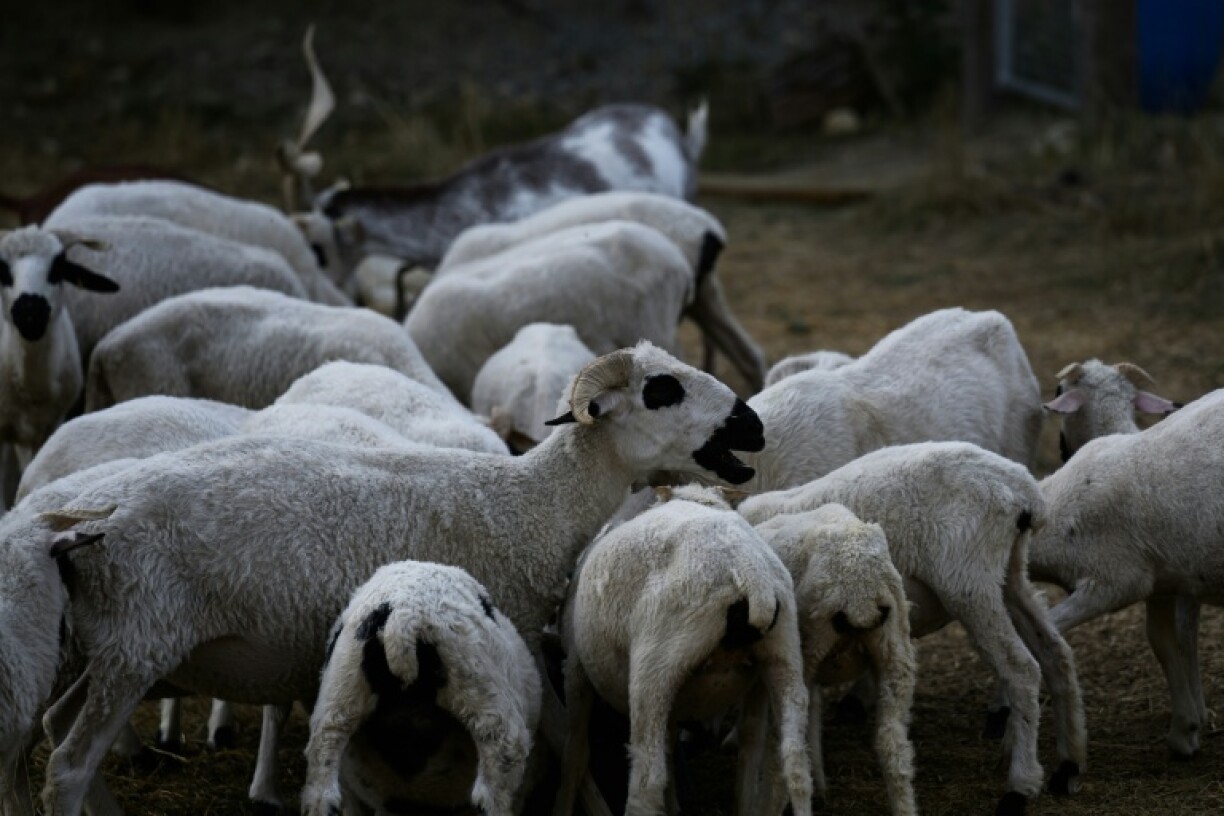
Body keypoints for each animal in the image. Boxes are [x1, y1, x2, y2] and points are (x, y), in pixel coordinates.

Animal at [555, 485, 812, 816]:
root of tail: (750, 573)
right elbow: (676, 742)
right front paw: (675, 803)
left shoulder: (576, 669)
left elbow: (574, 751)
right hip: (783, 656)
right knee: (792, 764)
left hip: (655, 669)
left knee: (647, 781)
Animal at [751, 505, 916, 816]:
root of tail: (859, 587)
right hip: (894, 649)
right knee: (892, 743)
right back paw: (905, 806)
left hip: (806, 647)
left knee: (788, 747)